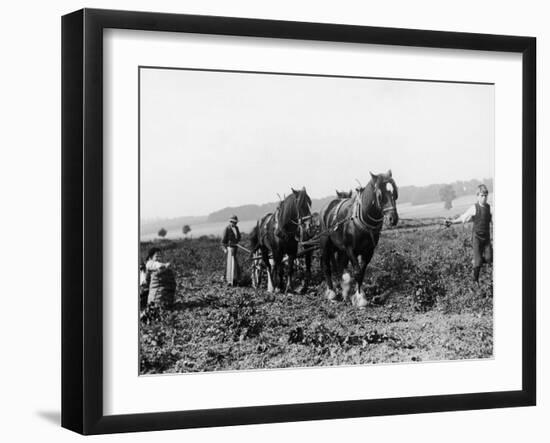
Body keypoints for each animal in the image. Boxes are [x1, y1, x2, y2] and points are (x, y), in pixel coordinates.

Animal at [320, 171, 402, 308]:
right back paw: (331, 292)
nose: (393, 219)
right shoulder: (350, 249)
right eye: (380, 195)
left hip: (340, 249)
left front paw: (357, 295)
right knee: (326, 266)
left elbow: (362, 272)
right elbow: (357, 272)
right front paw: (359, 298)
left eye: (394, 193)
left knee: (340, 265)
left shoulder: (368, 251)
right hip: (326, 244)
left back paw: (344, 290)